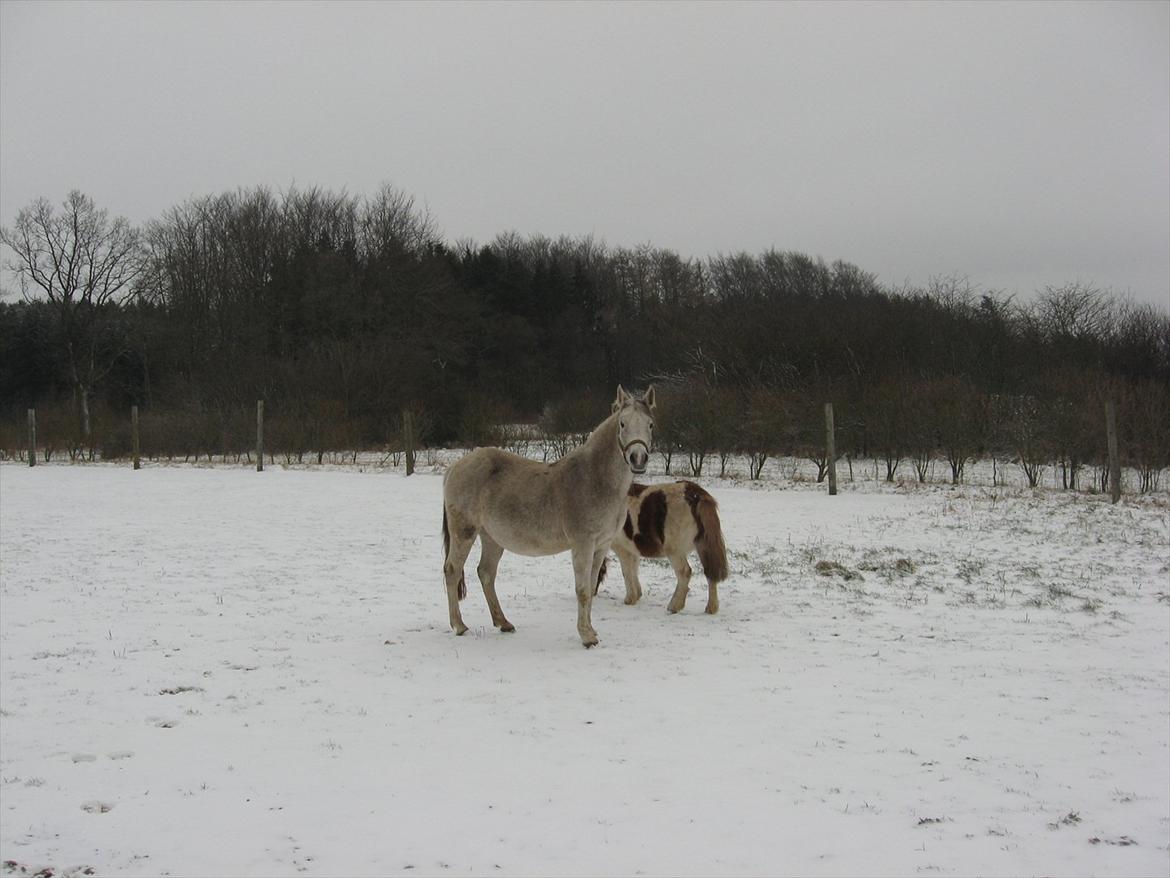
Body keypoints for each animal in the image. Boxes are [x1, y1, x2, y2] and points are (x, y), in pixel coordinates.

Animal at [439, 383, 655, 646]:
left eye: (650, 424)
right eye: (622, 424)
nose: (638, 458)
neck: (594, 478)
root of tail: (456, 466)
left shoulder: (602, 545)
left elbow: (591, 585)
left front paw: (591, 631)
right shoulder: (583, 544)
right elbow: (583, 590)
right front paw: (586, 637)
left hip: (492, 537)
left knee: (486, 573)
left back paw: (503, 622)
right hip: (464, 532)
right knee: (452, 570)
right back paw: (459, 625)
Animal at [599, 482, 725, 618]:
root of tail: (697, 494)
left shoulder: (622, 550)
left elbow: (626, 572)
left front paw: (630, 599)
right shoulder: (633, 551)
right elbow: (634, 570)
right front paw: (637, 595)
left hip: (675, 552)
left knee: (685, 572)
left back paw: (674, 606)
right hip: (703, 546)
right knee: (710, 572)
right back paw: (711, 608)